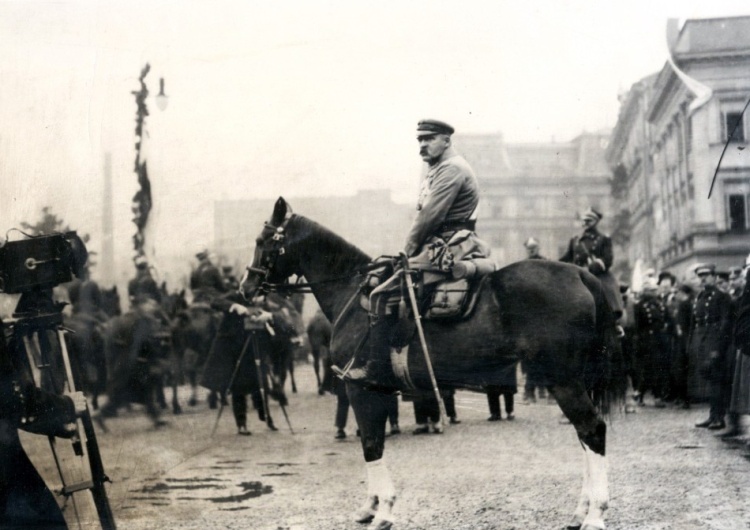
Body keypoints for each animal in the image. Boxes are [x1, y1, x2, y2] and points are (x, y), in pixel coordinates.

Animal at [241, 198, 624, 528]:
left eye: (263, 240)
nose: (246, 287)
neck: (354, 294)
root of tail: (580, 275)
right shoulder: (373, 391)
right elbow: (372, 441)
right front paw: (371, 505)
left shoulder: (361, 387)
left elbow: (371, 444)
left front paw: (384, 510)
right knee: (584, 435)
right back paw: (581, 511)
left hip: (564, 380)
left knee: (592, 429)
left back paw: (595, 515)